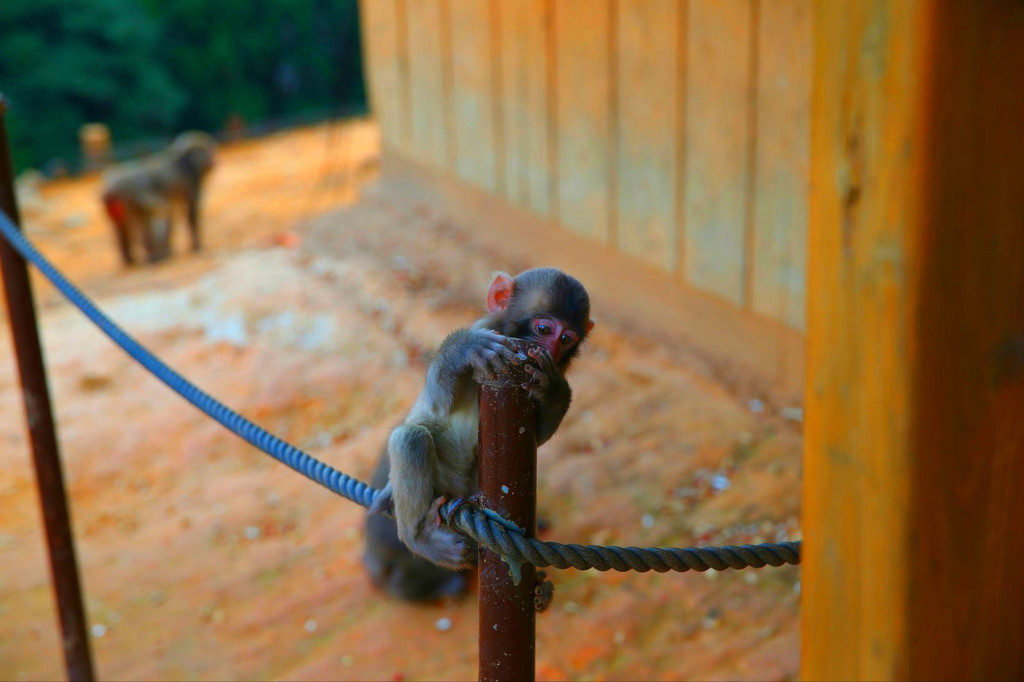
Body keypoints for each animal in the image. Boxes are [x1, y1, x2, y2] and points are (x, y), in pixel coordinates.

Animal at [100, 130, 217, 266]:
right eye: (209, 150)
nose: (215, 159)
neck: (184, 162)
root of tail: (111, 187)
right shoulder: (191, 181)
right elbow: (190, 212)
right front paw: (196, 246)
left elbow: (170, 211)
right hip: (130, 198)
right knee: (144, 219)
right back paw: (153, 256)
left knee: (125, 226)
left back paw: (131, 259)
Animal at [366, 268, 593, 598]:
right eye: (543, 328)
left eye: (566, 339)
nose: (550, 350)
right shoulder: (487, 331)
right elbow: (437, 404)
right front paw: (463, 347)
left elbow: (537, 437)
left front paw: (552, 390)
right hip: (443, 481)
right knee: (411, 438)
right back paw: (420, 539)